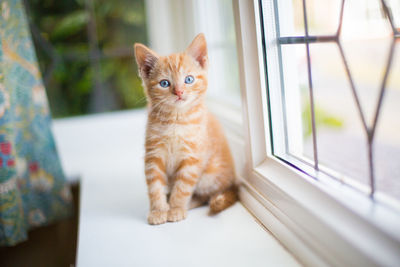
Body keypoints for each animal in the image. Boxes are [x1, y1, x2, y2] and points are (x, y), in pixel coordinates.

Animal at [134, 33, 236, 226]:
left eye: (189, 79)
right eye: (164, 83)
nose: (179, 92)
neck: (176, 120)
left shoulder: (193, 158)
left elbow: (182, 187)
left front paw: (175, 208)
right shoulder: (153, 154)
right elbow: (155, 186)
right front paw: (158, 210)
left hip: (209, 176)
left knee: (206, 196)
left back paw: (189, 203)